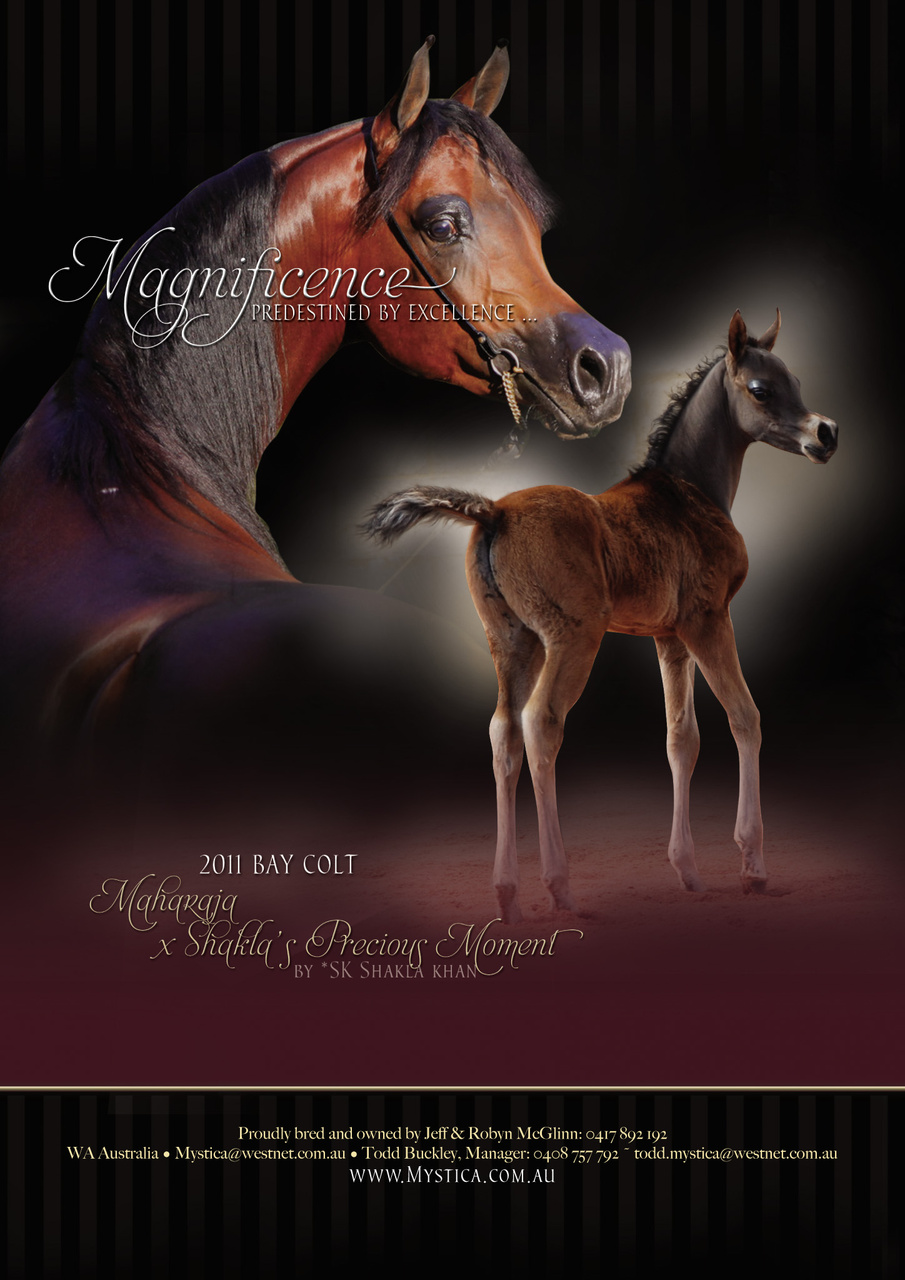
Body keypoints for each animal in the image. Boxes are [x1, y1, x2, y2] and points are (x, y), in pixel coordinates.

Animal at [363, 311, 839, 923]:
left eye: (795, 380)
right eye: (761, 389)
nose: (825, 433)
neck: (689, 493)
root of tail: (493, 512)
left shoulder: (669, 636)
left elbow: (681, 737)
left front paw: (689, 872)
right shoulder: (709, 620)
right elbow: (745, 717)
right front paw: (752, 867)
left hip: (511, 640)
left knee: (503, 732)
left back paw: (508, 894)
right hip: (574, 637)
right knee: (541, 723)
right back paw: (559, 887)